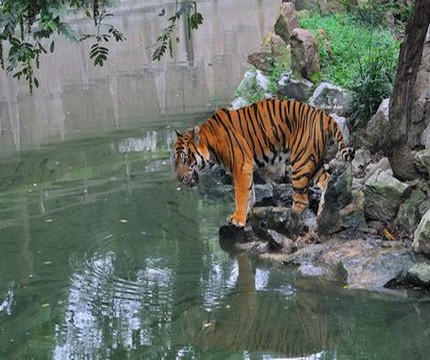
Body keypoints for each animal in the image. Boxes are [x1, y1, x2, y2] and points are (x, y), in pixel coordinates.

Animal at [173, 97, 354, 228]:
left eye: (185, 159)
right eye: (175, 161)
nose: (179, 179)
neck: (211, 146)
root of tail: (325, 115)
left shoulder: (241, 167)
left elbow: (241, 195)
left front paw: (238, 219)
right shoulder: (247, 169)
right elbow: (250, 193)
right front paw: (245, 215)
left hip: (300, 163)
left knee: (302, 200)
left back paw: (289, 217)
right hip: (312, 161)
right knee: (326, 181)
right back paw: (322, 209)